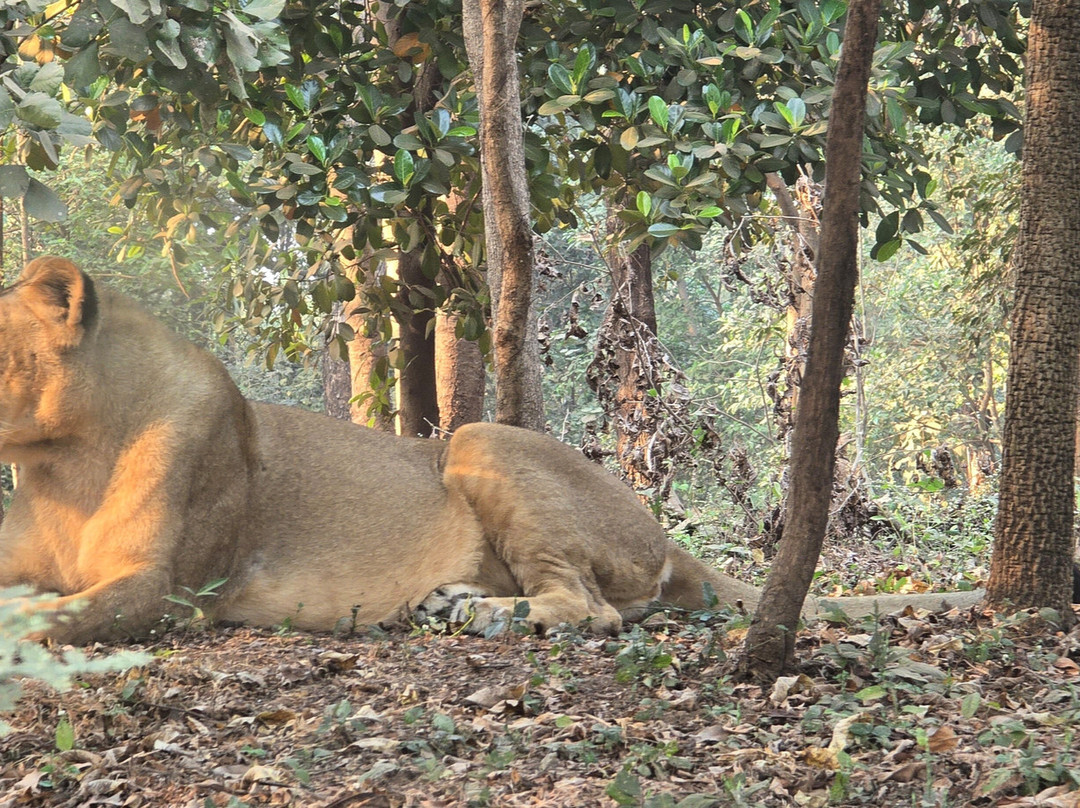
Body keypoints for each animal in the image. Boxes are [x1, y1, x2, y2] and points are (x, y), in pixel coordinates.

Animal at [0, 257, 985, 645]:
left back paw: (480, 615)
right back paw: (456, 603)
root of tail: (665, 532)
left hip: (478, 439)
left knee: (592, 610)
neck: (62, 459)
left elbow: (52, 619)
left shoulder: (169, 590)